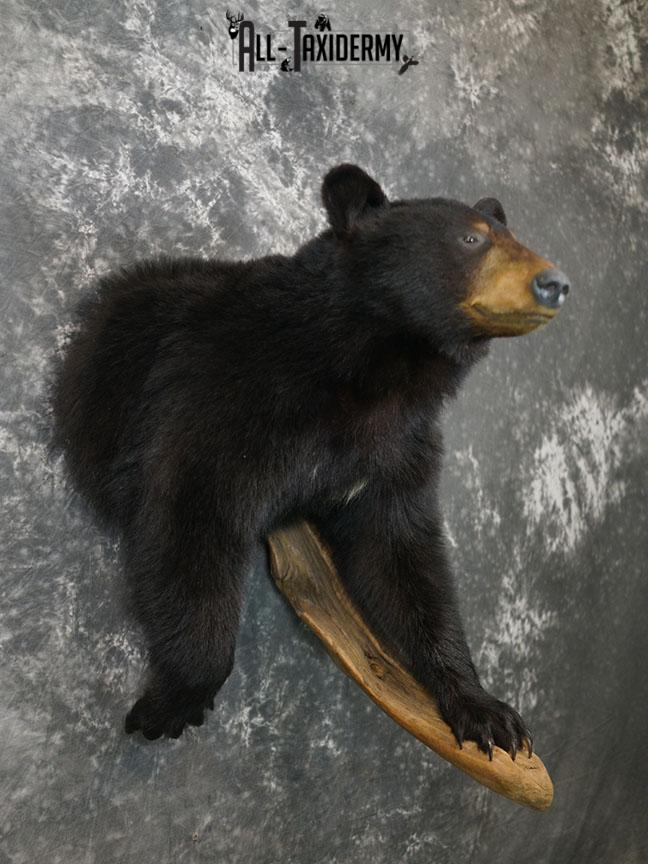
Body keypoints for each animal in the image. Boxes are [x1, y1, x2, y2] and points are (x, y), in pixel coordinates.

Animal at [51, 164, 569, 752]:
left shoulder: (394, 452)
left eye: (513, 236)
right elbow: (190, 517)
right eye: (472, 239)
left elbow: (402, 560)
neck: (372, 376)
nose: (555, 283)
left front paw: (485, 710)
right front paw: (172, 702)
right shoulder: (226, 401)